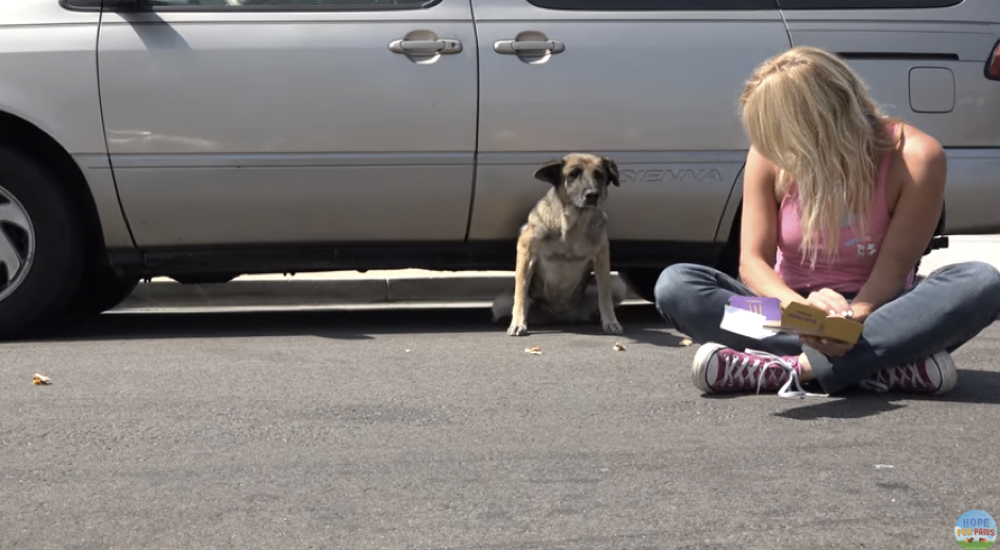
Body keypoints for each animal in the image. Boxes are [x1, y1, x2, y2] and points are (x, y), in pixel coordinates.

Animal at [492, 153, 624, 338]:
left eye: (599, 175)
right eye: (573, 174)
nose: (592, 195)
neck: (573, 225)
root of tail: (559, 315)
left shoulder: (601, 259)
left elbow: (605, 296)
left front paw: (611, 322)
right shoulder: (526, 253)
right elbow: (521, 293)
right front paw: (518, 323)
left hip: (617, 285)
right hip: (501, 302)